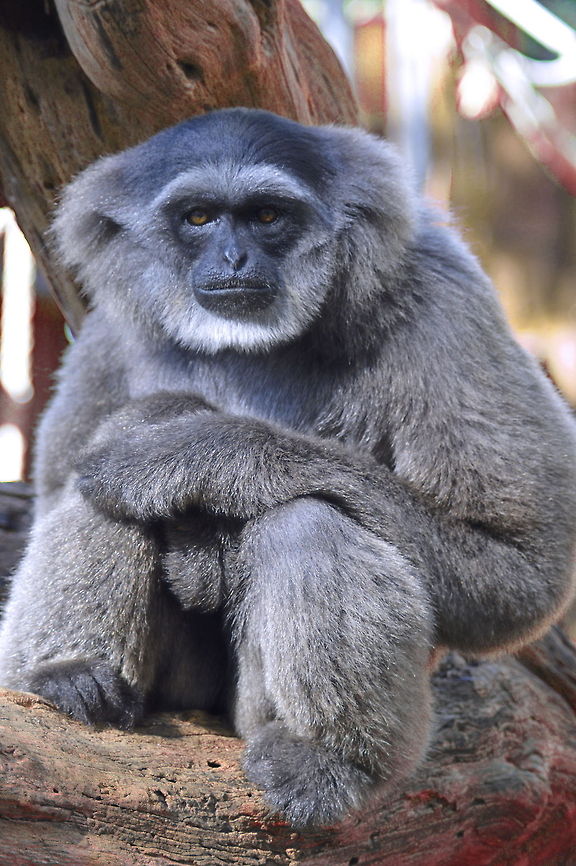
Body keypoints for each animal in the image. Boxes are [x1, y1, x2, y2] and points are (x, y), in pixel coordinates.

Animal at [0, 108, 575, 829]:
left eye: (268, 215)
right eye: (198, 218)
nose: (233, 257)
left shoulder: (443, 295)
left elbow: (522, 571)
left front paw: (191, 446)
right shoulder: (110, 327)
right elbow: (58, 490)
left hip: (248, 709)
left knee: (305, 518)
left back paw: (332, 760)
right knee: (96, 493)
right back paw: (70, 676)